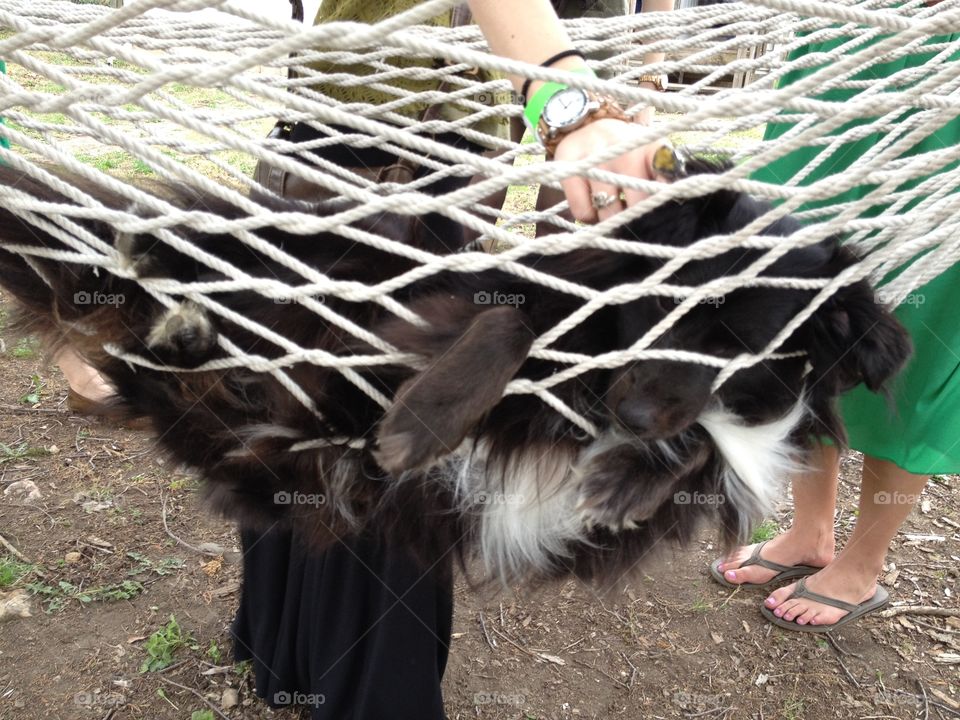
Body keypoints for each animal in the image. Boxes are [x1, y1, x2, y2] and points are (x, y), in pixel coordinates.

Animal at [0, 162, 912, 584]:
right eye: (667, 305)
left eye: (741, 345)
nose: (629, 417)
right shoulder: (498, 294)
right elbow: (508, 317)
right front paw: (426, 418)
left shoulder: (741, 433)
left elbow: (708, 447)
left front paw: (627, 478)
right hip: (353, 248)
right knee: (204, 251)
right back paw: (158, 258)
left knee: (155, 360)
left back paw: (183, 331)